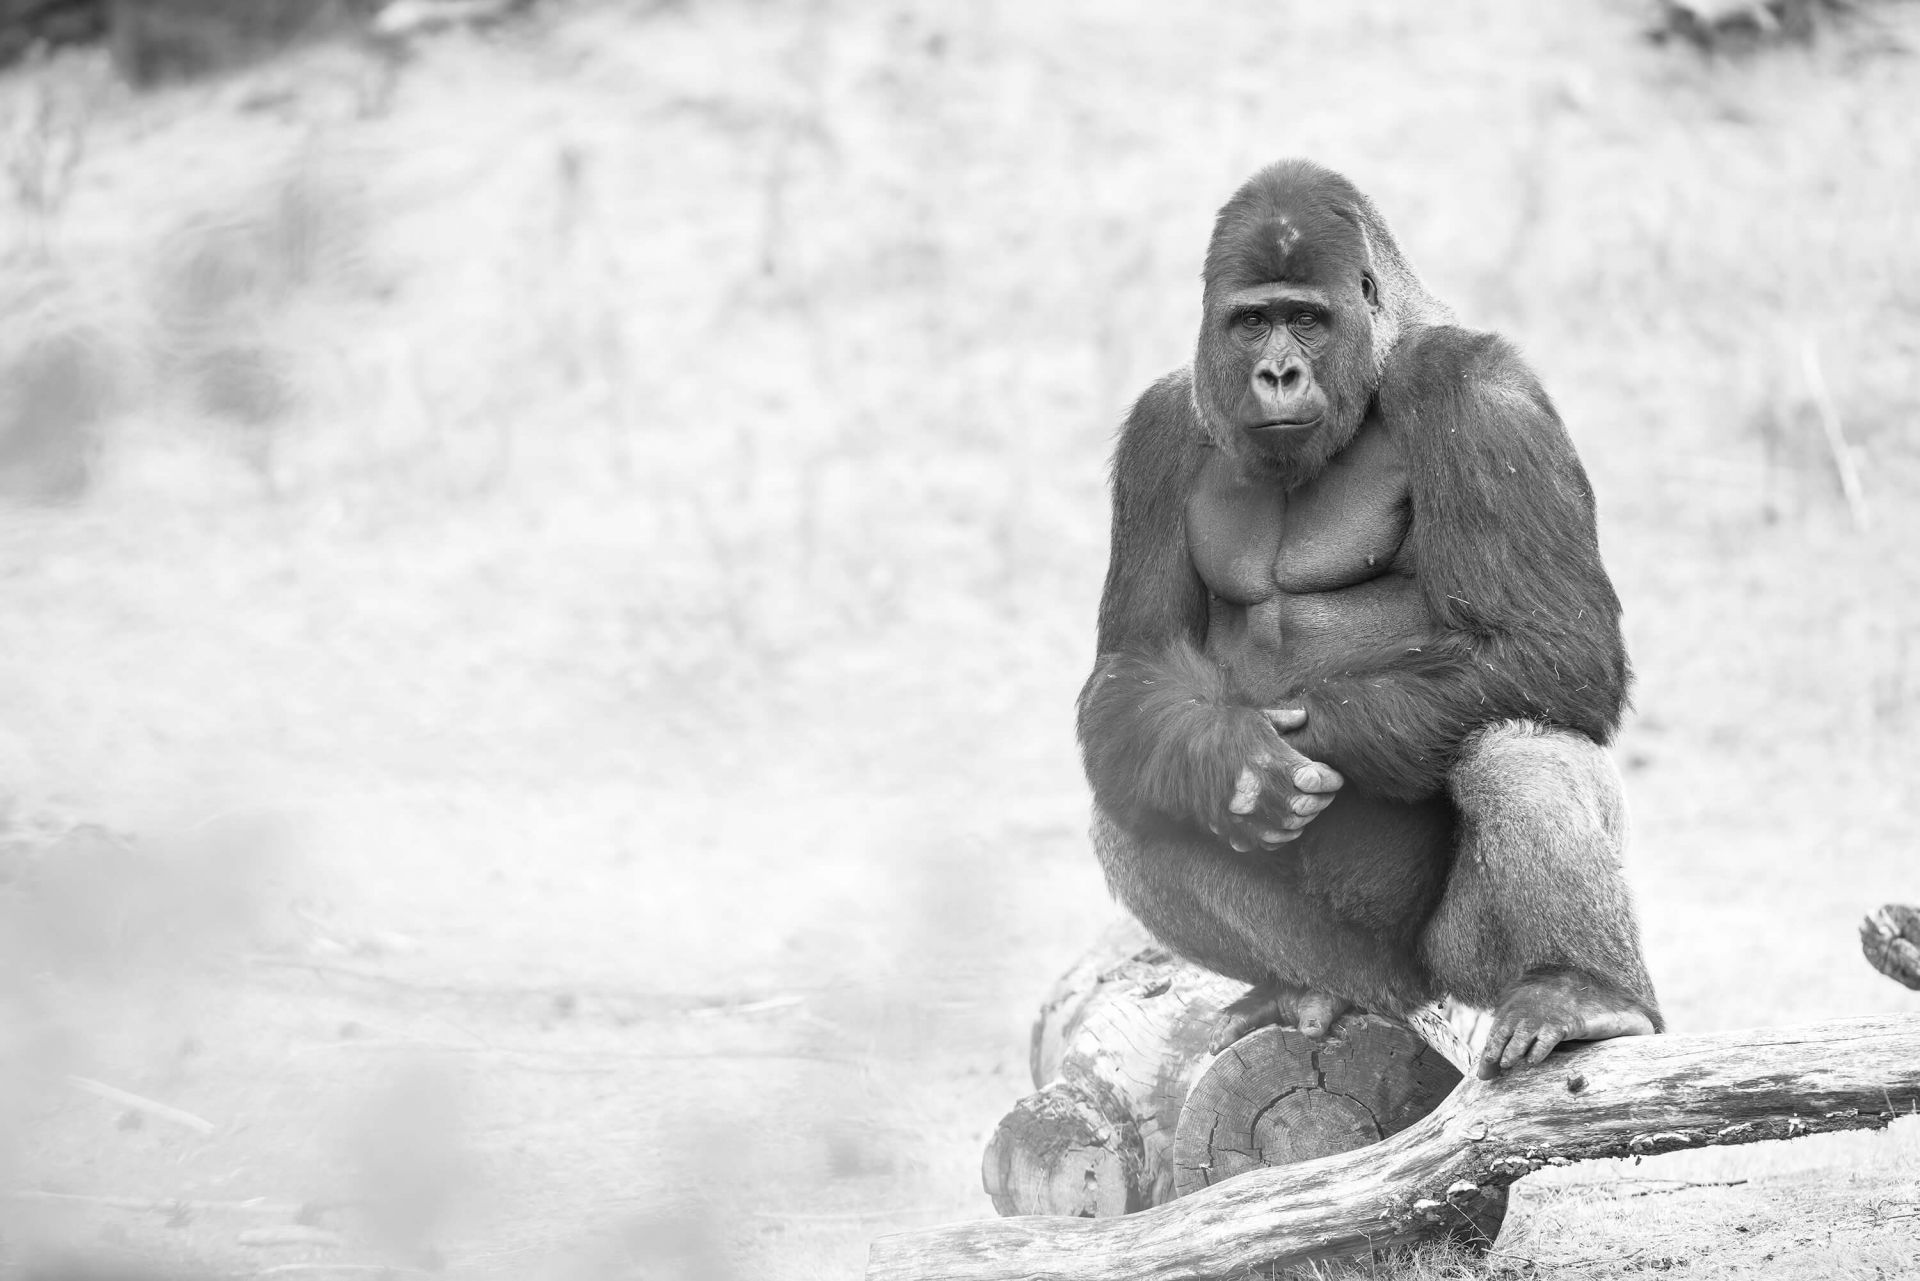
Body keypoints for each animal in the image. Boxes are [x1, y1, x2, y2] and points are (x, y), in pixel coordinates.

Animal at [1077, 159, 1660, 1080]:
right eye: (1253, 323)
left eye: (1308, 321)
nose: (1278, 373)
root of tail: (1407, 992)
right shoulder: (1157, 429)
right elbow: (1130, 673)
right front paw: (1228, 750)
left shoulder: (1478, 389)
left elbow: (1557, 646)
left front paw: (1303, 738)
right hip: (1353, 962)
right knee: (1132, 789)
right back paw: (1295, 985)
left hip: (1460, 963)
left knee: (1520, 740)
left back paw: (1582, 990)